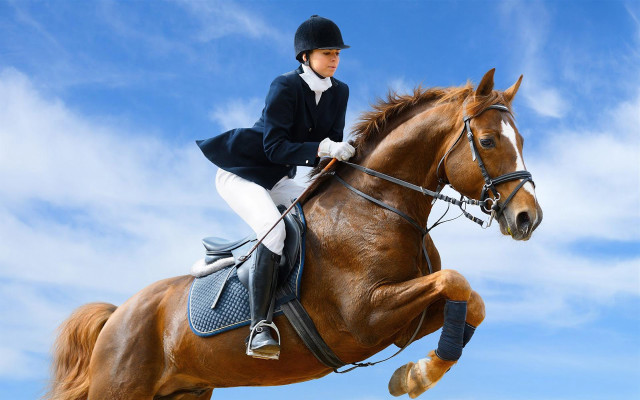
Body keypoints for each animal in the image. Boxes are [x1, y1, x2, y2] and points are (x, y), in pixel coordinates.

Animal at [46, 69, 542, 400]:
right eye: (488, 141)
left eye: (521, 140)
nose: (528, 219)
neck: (380, 205)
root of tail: (117, 315)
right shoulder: (364, 315)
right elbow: (456, 281)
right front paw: (417, 376)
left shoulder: (406, 320)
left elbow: (470, 300)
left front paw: (414, 374)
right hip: (121, 387)